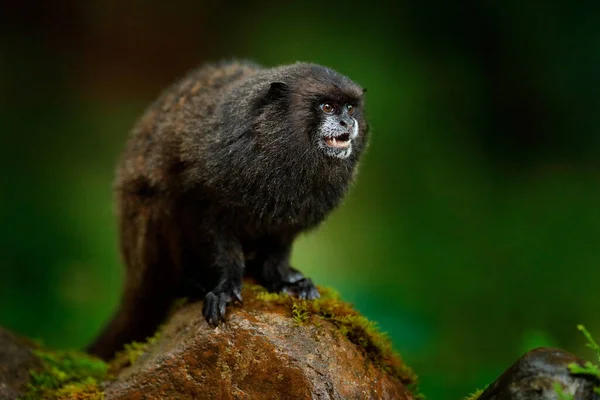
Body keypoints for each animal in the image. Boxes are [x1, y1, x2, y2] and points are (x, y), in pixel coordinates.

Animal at [88, 61, 370, 360]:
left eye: (350, 108)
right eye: (327, 107)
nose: (347, 122)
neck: (274, 151)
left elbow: (280, 243)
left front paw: (281, 279)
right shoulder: (206, 191)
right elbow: (213, 234)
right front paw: (224, 286)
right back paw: (189, 283)